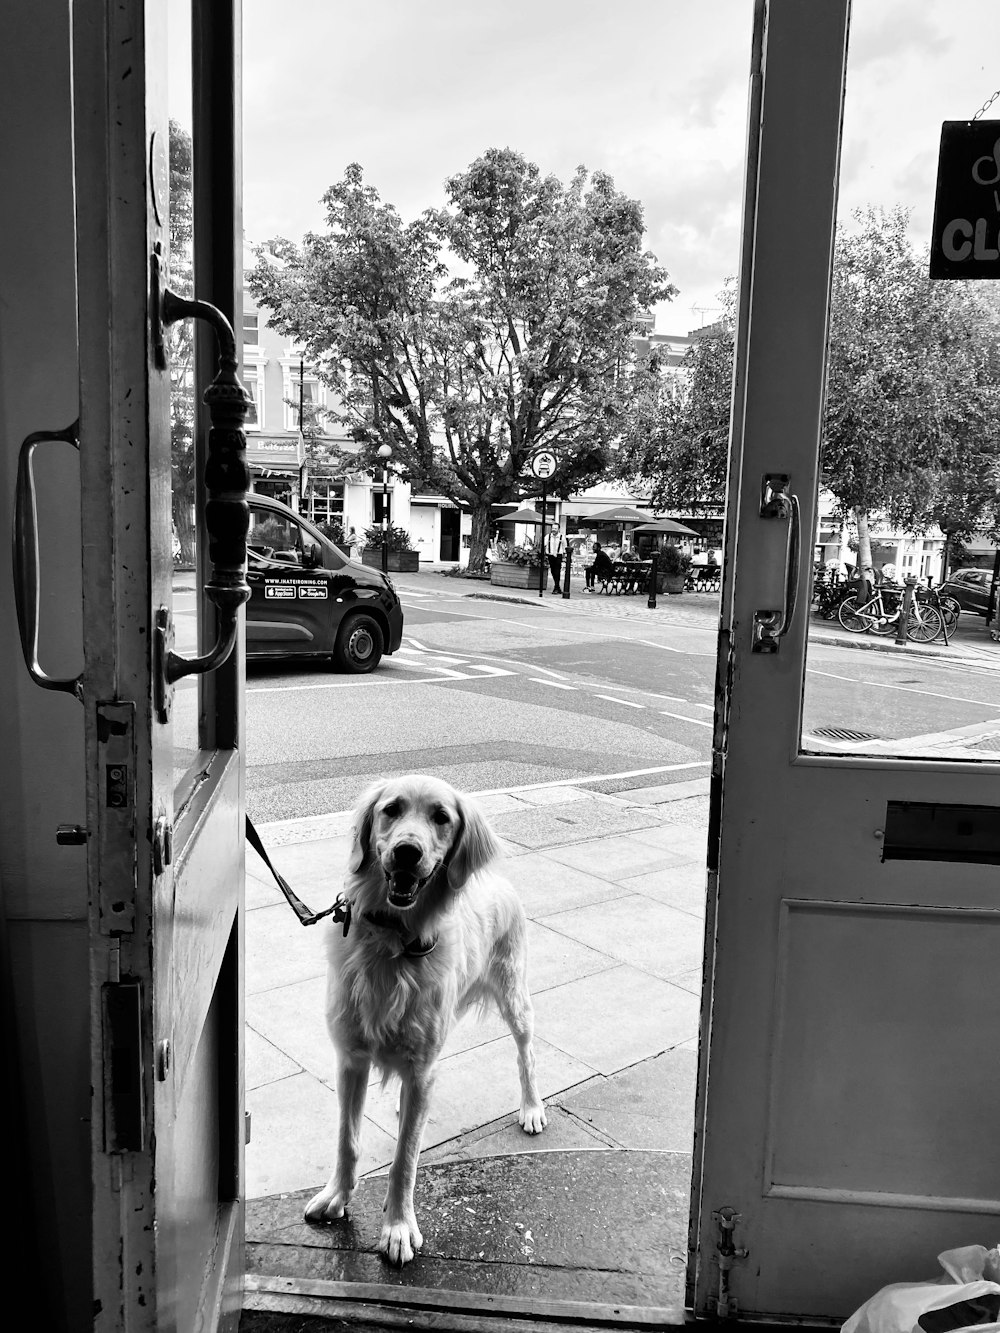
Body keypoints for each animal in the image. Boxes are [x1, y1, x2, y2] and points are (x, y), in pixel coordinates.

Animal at [305, 773, 549, 1258]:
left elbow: (406, 1158)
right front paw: (337, 1195)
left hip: (514, 995)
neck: (393, 940)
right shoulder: (351, 1058)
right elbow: (347, 1139)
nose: (406, 852)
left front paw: (398, 1227)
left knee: (526, 1054)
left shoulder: (421, 1069)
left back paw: (532, 1107)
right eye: (391, 809)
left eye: (441, 817)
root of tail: (497, 880)